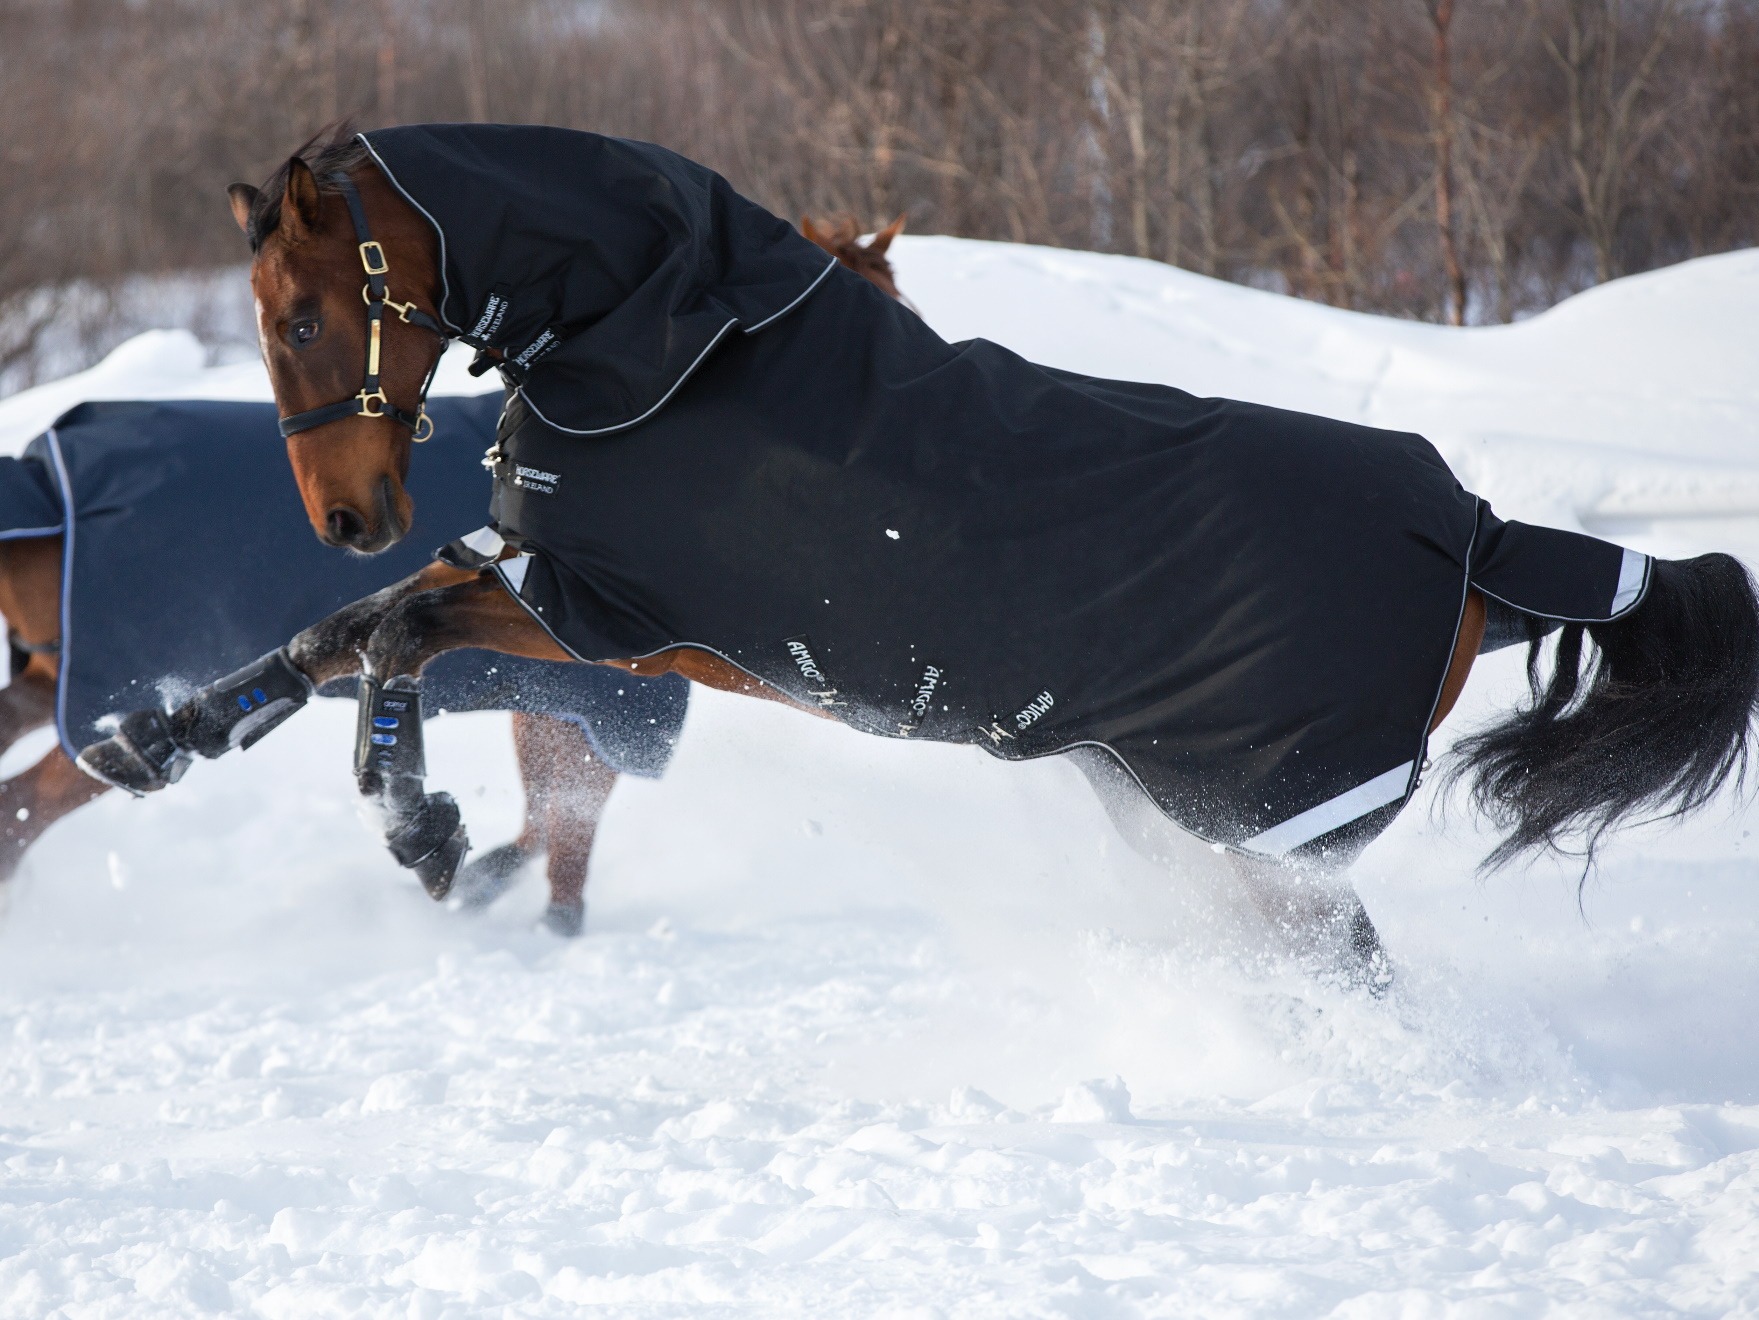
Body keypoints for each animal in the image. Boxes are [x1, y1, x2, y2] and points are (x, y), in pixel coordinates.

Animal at [85, 126, 1759, 992]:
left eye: (309, 316)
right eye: (263, 323)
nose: (347, 510)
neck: (667, 348)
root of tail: (1475, 537)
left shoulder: (619, 624)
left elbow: (387, 641)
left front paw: (421, 831)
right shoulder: (546, 589)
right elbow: (339, 636)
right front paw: (150, 741)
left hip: (1256, 821)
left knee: (1342, 959)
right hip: (1192, 817)